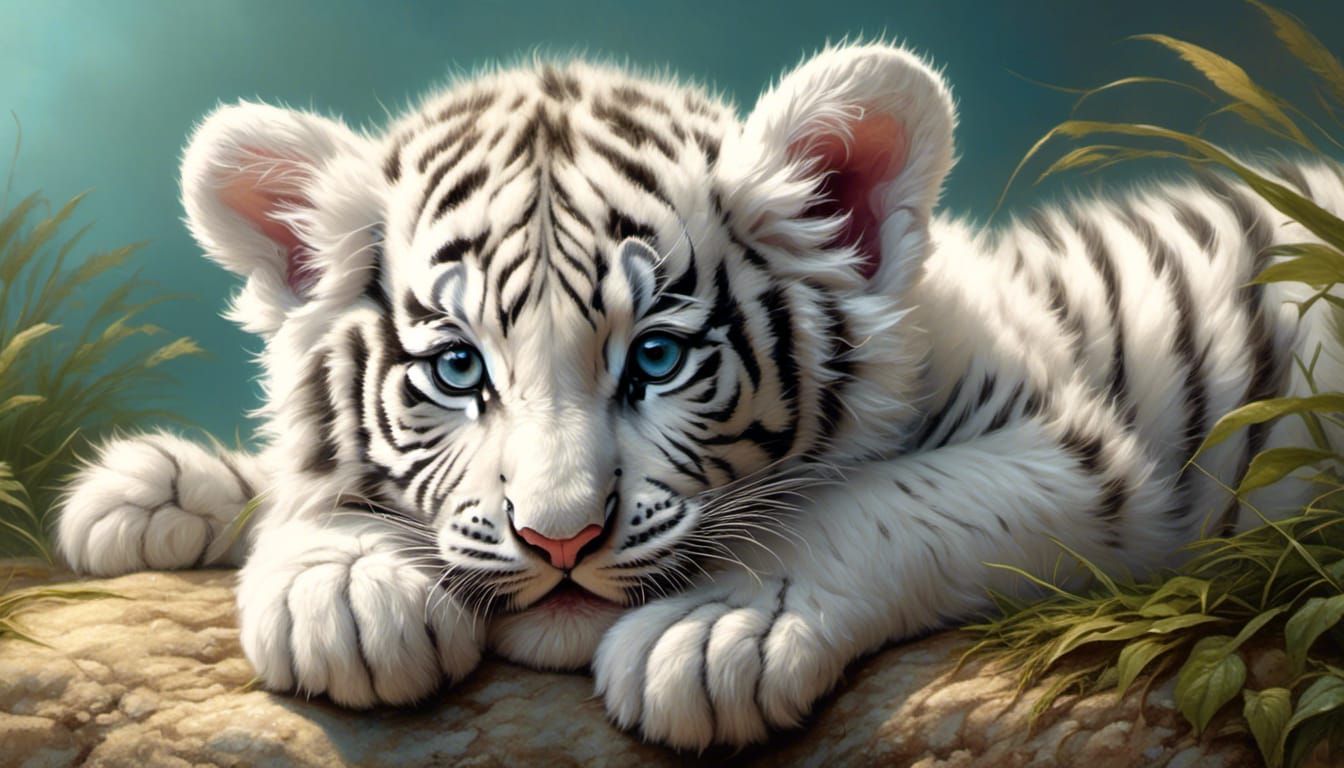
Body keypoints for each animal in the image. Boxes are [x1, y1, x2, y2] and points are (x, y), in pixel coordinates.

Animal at [55, 42, 1344, 750]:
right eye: (459, 369)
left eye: (660, 361)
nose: (559, 540)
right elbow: (304, 473)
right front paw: (299, 557)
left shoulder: (1079, 463)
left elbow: (877, 500)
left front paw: (716, 628)